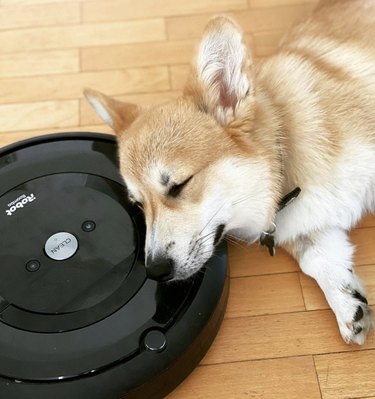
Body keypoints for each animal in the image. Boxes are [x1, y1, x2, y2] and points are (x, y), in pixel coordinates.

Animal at [85, 0, 375, 346]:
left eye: (179, 185)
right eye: (139, 205)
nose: (154, 270)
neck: (285, 150)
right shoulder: (303, 226)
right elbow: (318, 261)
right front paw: (348, 304)